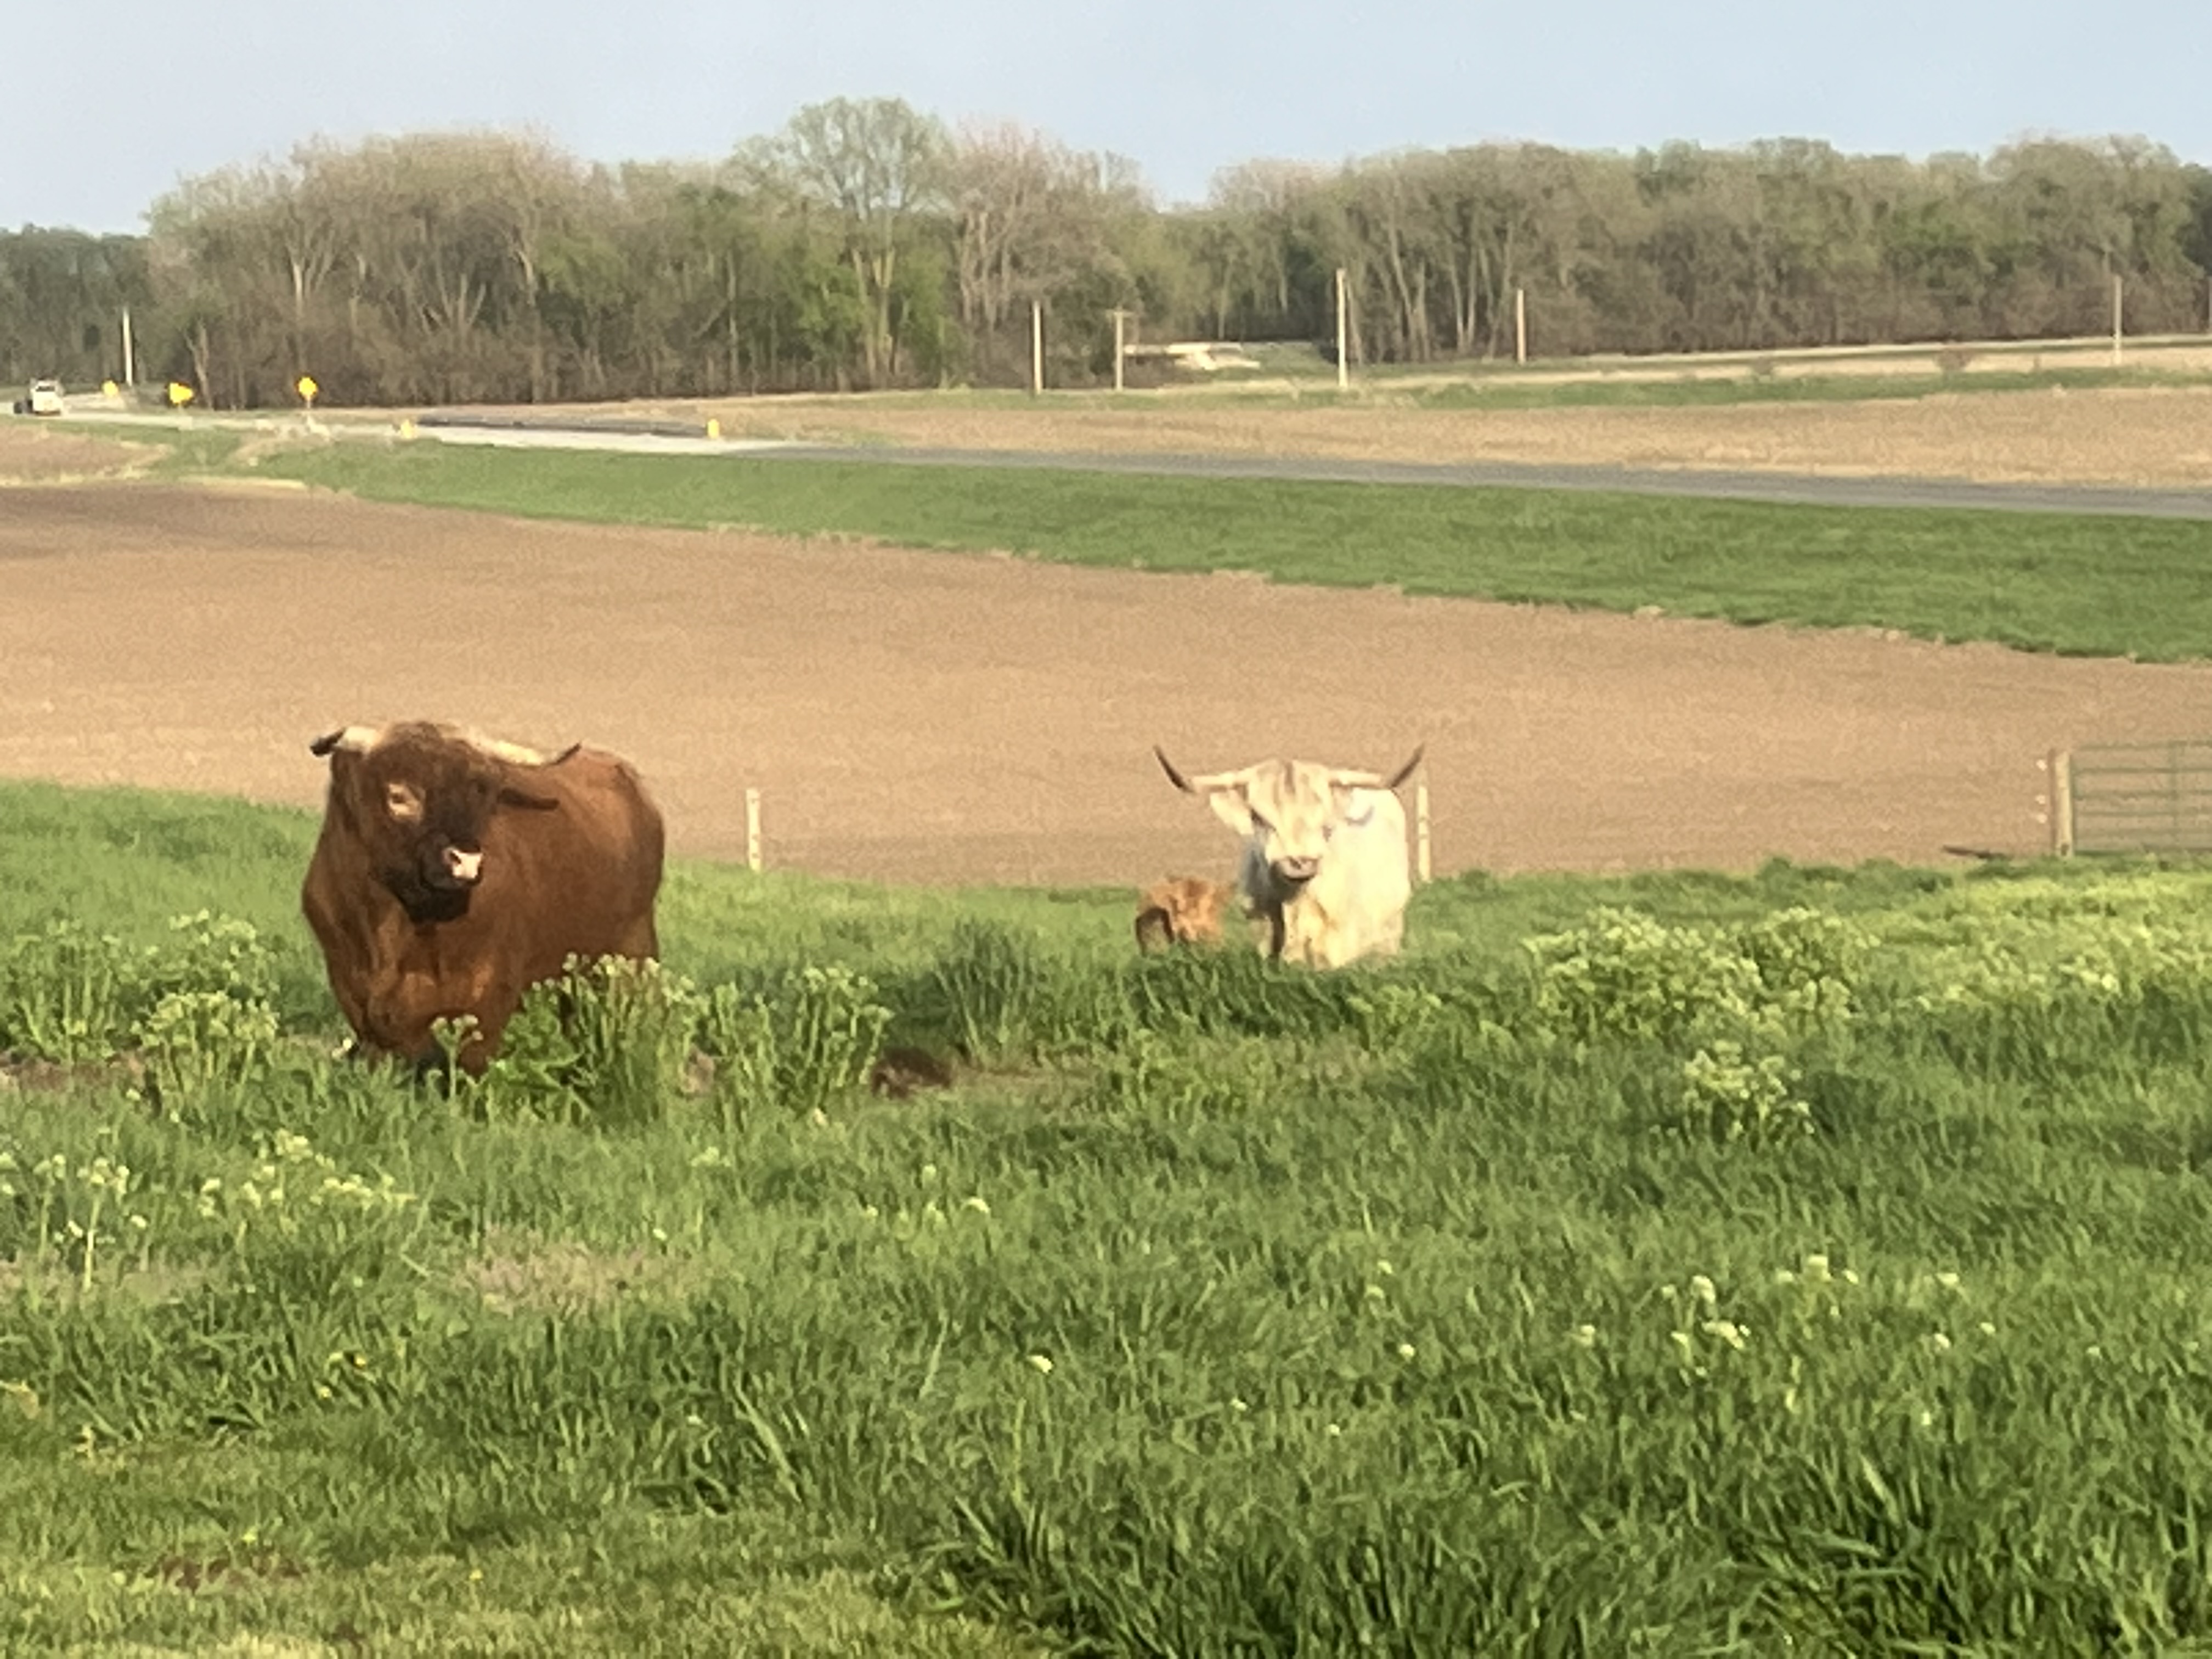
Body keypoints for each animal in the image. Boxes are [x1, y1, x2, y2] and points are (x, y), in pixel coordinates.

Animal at [301, 721, 665, 1071]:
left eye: (482, 800)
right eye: (399, 795)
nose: (466, 860)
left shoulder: (487, 999)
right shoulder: (357, 998)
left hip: (632, 954)